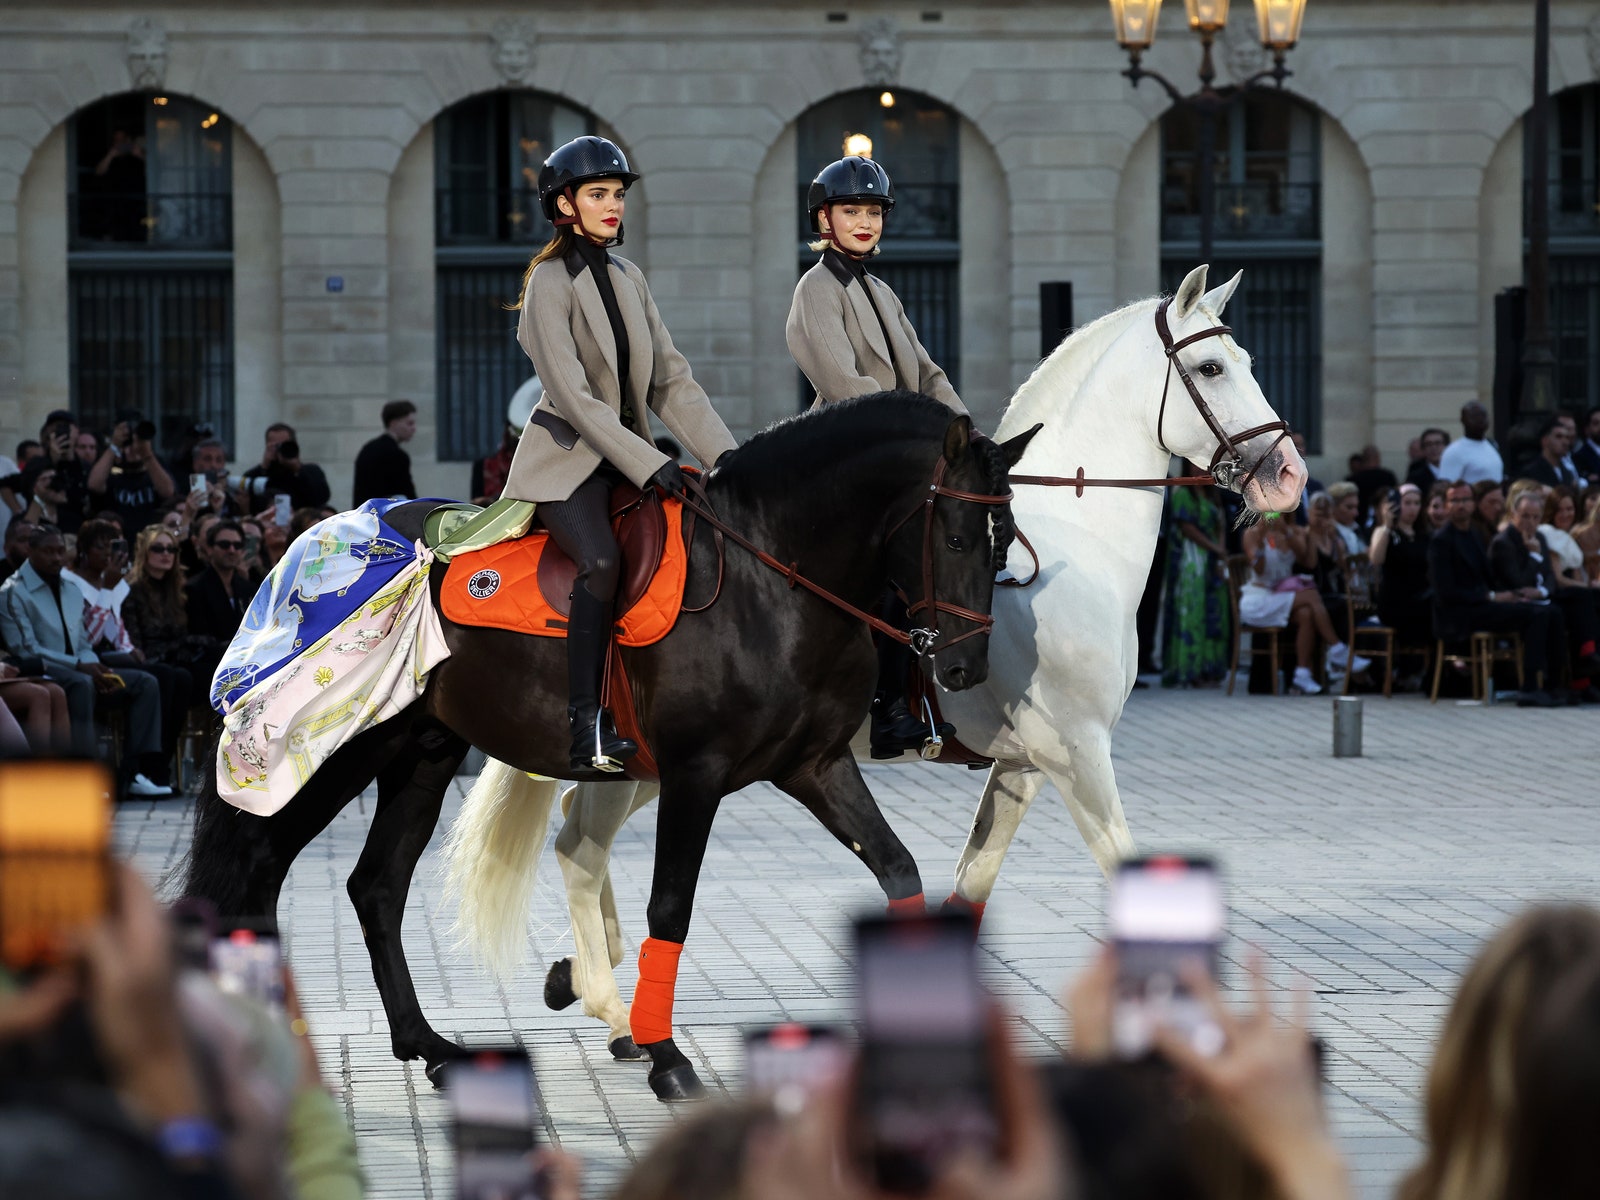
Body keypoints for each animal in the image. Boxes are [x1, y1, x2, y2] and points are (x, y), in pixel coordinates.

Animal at [187, 395, 1036, 1100]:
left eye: (1004, 550)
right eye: (957, 536)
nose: (964, 668)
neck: (770, 581)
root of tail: (316, 540)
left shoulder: (816, 766)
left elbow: (898, 870)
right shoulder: (696, 774)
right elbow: (672, 905)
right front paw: (665, 1055)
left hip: (422, 752)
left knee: (377, 888)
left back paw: (430, 1046)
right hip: (337, 751)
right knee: (260, 868)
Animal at [438, 265, 1299, 1062]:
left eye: (1250, 359)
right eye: (1213, 368)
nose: (1287, 475)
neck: (1072, 548)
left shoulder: (1024, 765)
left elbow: (971, 885)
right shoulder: (1076, 753)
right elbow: (1124, 865)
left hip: (654, 764)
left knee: (577, 841)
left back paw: (593, 993)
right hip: (661, 759)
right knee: (581, 847)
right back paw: (612, 1006)